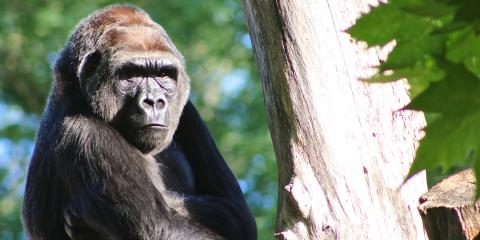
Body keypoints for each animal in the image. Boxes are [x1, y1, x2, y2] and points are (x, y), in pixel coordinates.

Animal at [22, 4, 256, 240]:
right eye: (131, 74)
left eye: (163, 74)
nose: (154, 101)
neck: (76, 92)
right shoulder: (84, 133)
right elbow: (163, 228)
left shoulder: (188, 111)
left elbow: (236, 213)